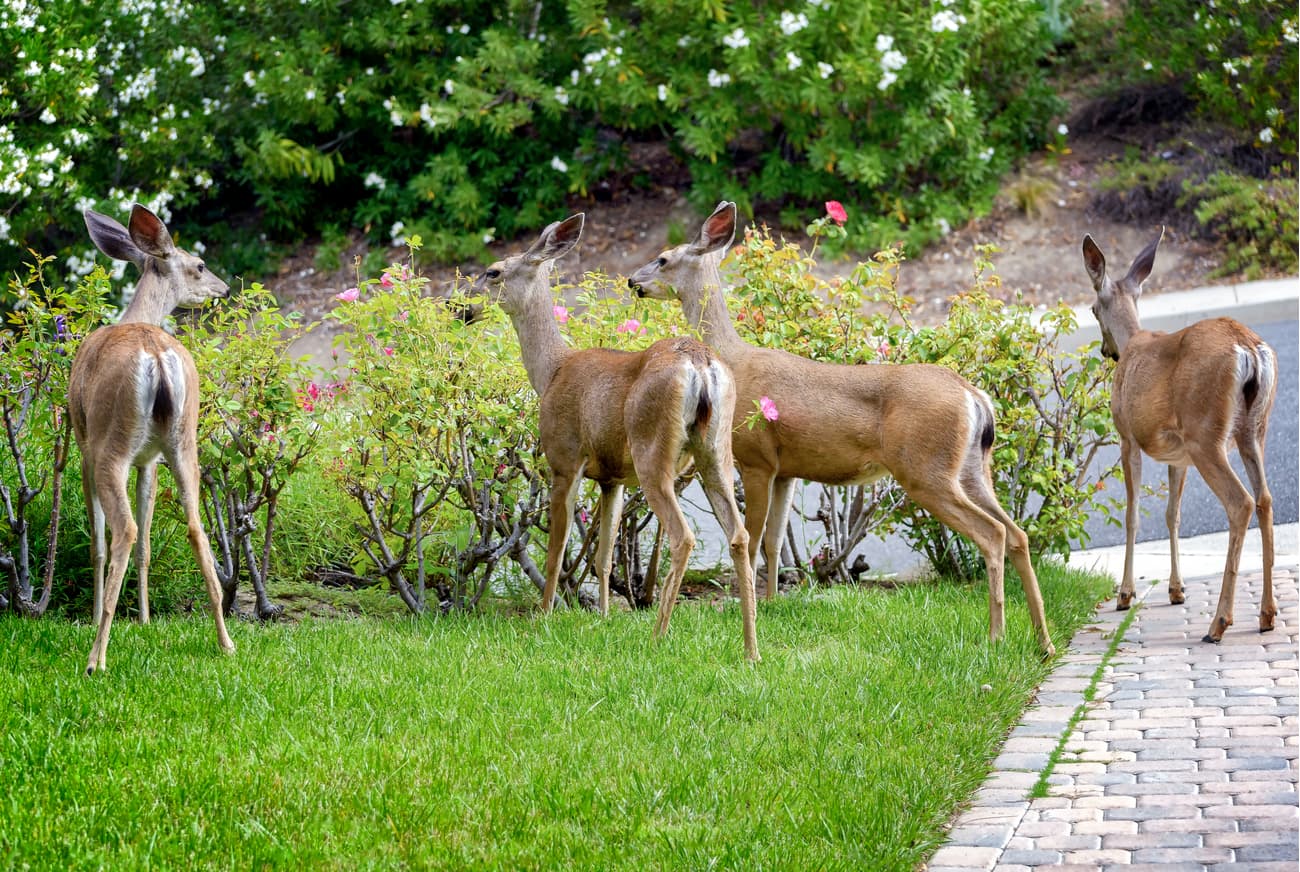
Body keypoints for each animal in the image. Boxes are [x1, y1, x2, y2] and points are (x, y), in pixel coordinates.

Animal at [72, 204, 235, 675]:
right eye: (199, 265)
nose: (224, 287)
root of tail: (157, 356)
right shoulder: (149, 459)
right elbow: (147, 540)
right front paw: (144, 619)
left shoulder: (83, 443)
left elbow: (99, 541)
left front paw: (95, 615)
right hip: (183, 443)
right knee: (195, 528)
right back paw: (226, 641)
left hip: (110, 444)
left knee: (122, 531)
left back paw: (96, 656)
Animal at [473, 213, 759, 661]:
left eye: (493, 272)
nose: (462, 307)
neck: (551, 372)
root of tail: (700, 363)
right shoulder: (611, 478)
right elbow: (605, 553)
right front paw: (605, 617)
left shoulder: (564, 458)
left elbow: (556, 551)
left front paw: (544, 617)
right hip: (715, 451)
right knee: (740, 535)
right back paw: (750, 649)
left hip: (652, 450)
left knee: (682, 535)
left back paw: (658, 637)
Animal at [628, 201, 1055, 657]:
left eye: (663, 258)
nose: (633, 281)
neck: (734, 358)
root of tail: (974, 395)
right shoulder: (787, 469)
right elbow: (775, 539)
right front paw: (773, 602)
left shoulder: (756, 457)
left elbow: (755, 535)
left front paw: (753, 606)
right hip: (973, 467)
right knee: (1018, 533)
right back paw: (1043, 641)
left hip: (926, 469)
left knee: (992, 534)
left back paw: (996, 636)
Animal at [1081, 232, 1277, 642]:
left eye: (1092, 309)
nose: (1107, 351)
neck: (1134, 340)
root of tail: (1248, 348)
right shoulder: (1178, 455)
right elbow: (1173, 514)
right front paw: (1176, 589)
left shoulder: (1127, 437)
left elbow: (1133, 514)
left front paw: (1125, 594)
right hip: (1253, 430)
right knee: (1265, 499)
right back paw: (1267, 615)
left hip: (1206, 433)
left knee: (1241, 502)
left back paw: (1218, 623)